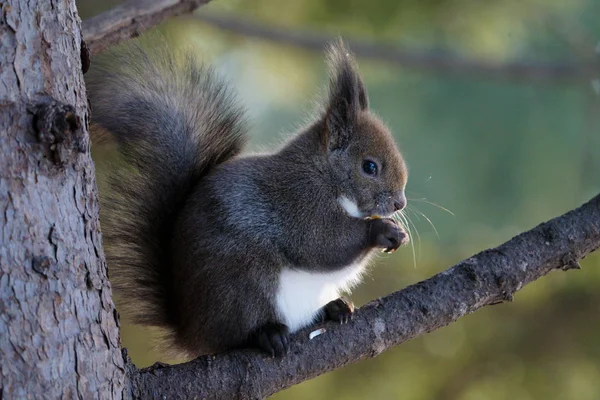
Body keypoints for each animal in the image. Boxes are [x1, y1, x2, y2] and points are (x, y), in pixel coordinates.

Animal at [88, 39, 408, 358]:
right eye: (369, 166)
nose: (399, 204)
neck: (323, 175)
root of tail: (191, 332)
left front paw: (396, 232)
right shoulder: (299, 203)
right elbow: (322, 244)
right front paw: (381, 230)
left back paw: (334, 307)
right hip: (244, 285)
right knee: (238, 331)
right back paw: (267, 333)